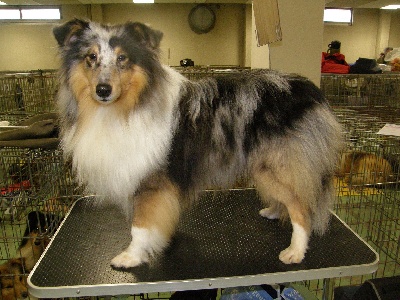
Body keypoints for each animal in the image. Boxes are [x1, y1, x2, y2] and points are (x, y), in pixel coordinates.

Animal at [52, 18, 340, 268]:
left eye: (122, 58)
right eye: (91, 57)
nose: (103, 90)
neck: (127, 106)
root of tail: (309, 89)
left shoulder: (150, 180)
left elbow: (139, 225)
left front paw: (131, 256)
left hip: (276, 165)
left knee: (302, 207)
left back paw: (295, 251)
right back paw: (274, 210)